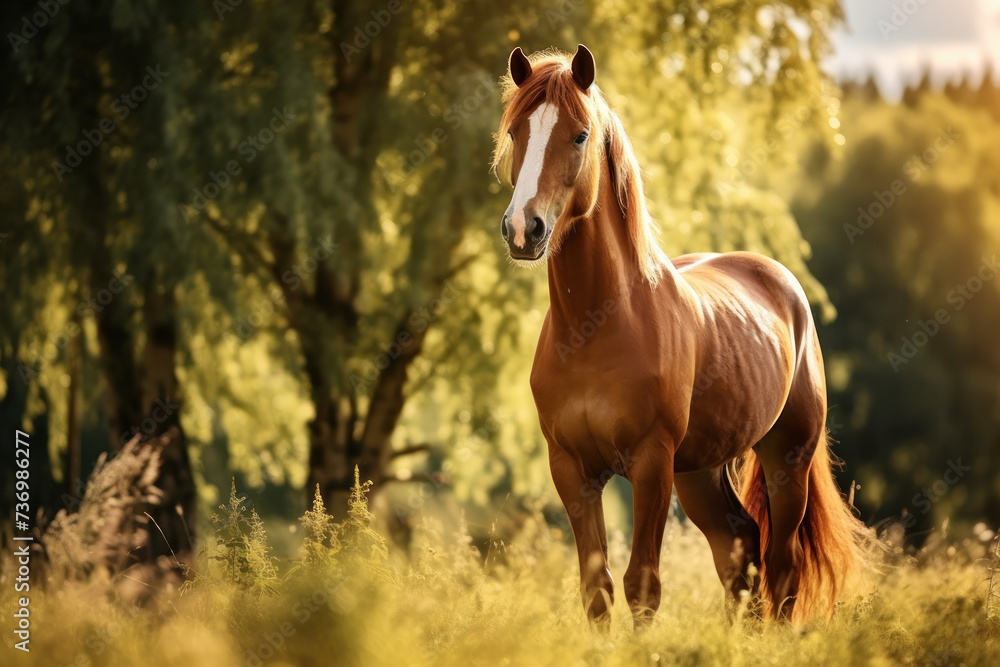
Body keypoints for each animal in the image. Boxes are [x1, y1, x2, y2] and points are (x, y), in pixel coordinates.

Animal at [492, 45, 871, 626]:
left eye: (579, 135)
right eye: (516, 132)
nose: (522, 229)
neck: (595, 329)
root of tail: (780, 280)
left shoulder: (652, 465)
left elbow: (642, 586)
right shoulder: (573, 470)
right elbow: (597, 589)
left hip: (788, 459)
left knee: (782, 568)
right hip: (700, 472)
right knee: (741, 553)